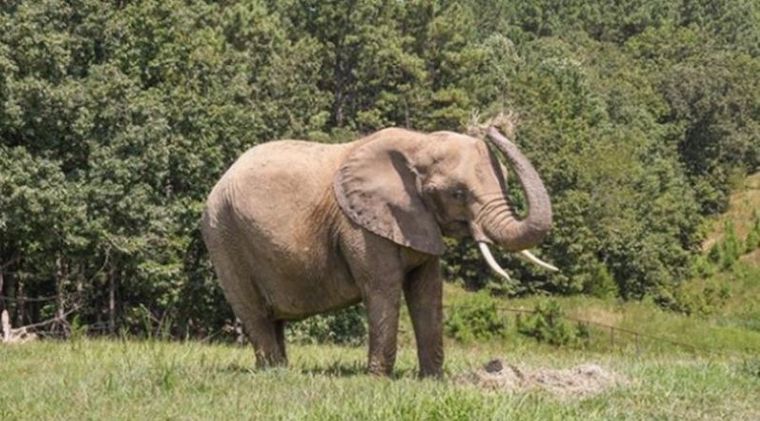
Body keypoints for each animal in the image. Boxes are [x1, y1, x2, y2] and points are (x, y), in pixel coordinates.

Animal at [201, 127, 556, 377]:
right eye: (458, 193)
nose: (488, 126)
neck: (420, 143)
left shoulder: (420, 222)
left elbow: (428, 291)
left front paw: (433, 380)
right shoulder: (360, 227)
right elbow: (383, 287)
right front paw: (378, 379)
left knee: (273, 318)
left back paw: (282, 369)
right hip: (224, 236)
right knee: (255, 314)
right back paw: (275, 374)